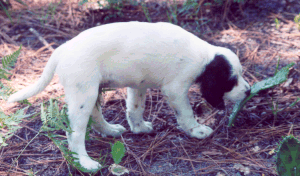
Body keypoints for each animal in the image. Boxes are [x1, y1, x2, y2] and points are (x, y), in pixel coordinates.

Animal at [7, 21, 251, 170]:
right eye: (231, 81)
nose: (248, 91)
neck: (203, 57)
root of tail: (62, 49)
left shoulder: (138, 84)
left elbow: (135, 108)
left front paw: (139, 128)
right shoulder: (176, 89)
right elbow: (186, 114)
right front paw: (197, 130)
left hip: (92, 90)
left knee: (95, 115)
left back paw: (110, 130)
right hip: (83, 94)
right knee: (74, 134)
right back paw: (85, 162)